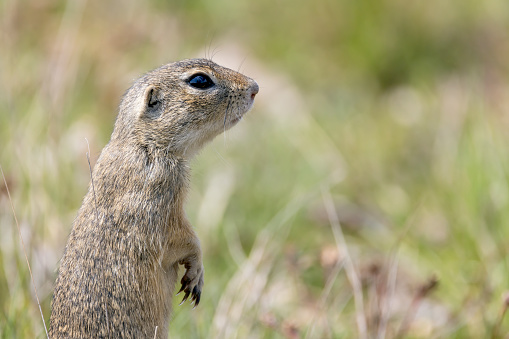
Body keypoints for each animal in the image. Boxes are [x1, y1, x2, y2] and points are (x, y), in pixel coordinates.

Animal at [48, 58, 258, 338]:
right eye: (200, 80)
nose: (255, 87)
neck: (143, 145)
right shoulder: (161, 203)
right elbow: (186, 241)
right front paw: (197, 274)